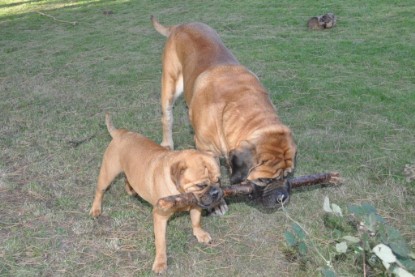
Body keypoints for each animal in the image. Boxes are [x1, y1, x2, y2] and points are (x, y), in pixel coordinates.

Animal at [89, 113, 223, 272]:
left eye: (219, 180)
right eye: (201, 185)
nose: (216, 192)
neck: (179, 190)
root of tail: (121, 133)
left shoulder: (196, 204)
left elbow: (196, 220)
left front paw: (199, 234)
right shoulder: (160, 216)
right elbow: (161, 242)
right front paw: (160, 262)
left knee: (128, 178)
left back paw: (131, 190)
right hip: (107, 174)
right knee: (99, 191)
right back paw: (95, 209)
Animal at [151, 16, 298, 212]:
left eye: (288, 175)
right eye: (264, 180)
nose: (282, 198)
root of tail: (180, 25)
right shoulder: (205, 148)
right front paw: (217, 204)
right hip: (169, 85)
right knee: (166, 117)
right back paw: (167, 143)